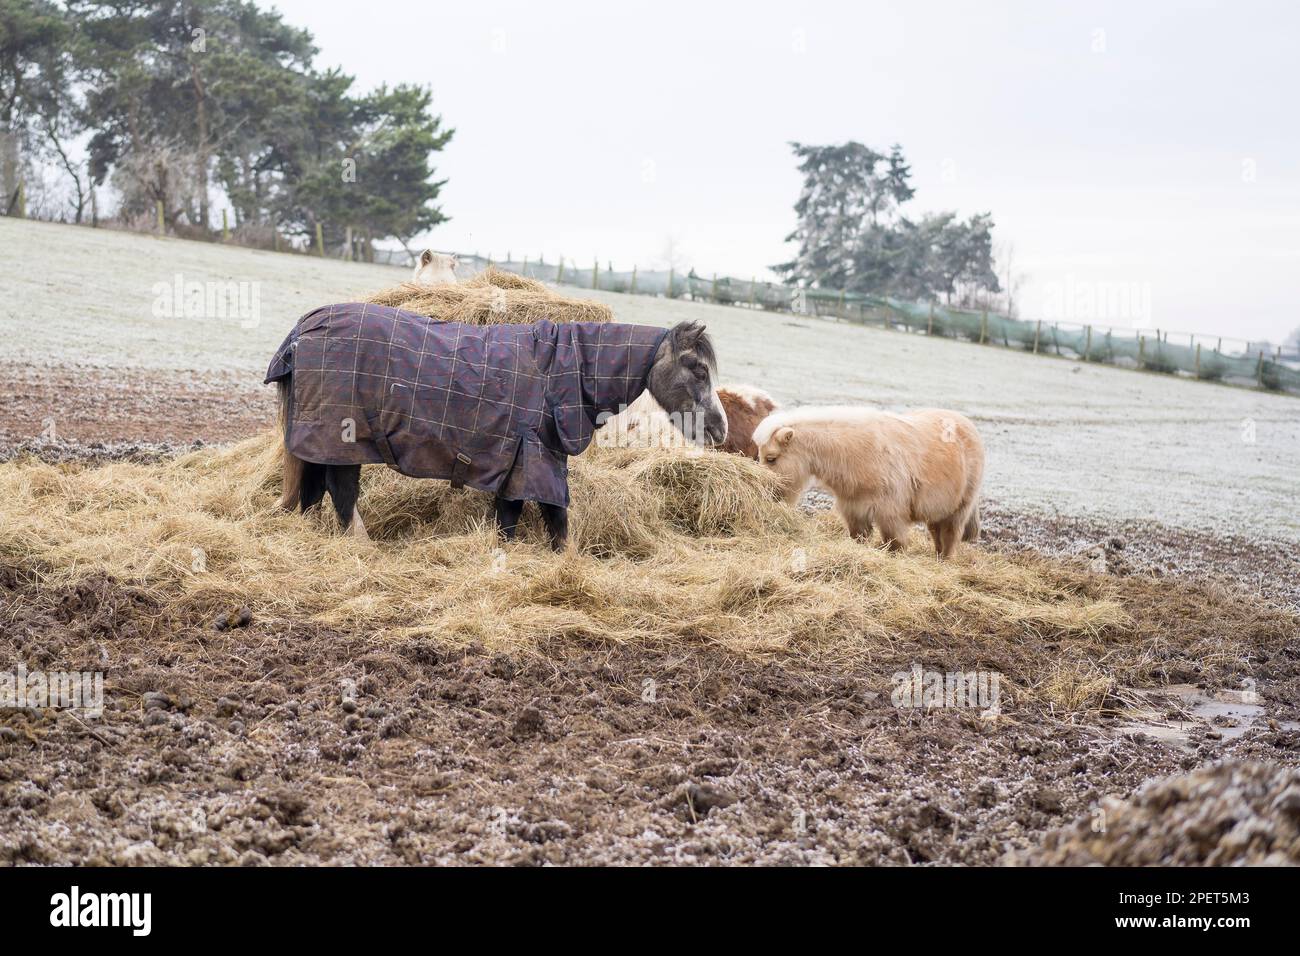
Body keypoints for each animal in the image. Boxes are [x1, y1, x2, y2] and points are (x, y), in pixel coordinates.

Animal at [266, 306, 724, 551]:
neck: (562, 369)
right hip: (343, 438)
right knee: (340, 491)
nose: (719, 429)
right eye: (699, 370)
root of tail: (302, 330)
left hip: (319, 440)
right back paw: (360, 543)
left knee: (314, 488)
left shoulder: (522, 459)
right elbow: (545, 518)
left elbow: (522, 518)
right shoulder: (532, 459)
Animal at [752, 407, 984, 557]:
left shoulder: (891, 514)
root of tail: (969, 426)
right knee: (937, 533)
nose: (768, 493)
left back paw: (945, 560)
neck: (856, 453)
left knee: (950, 537)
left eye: (771, 458)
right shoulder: (854, 510)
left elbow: (896, 544)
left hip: (960, 508)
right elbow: (859, 538)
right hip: (939, 509)